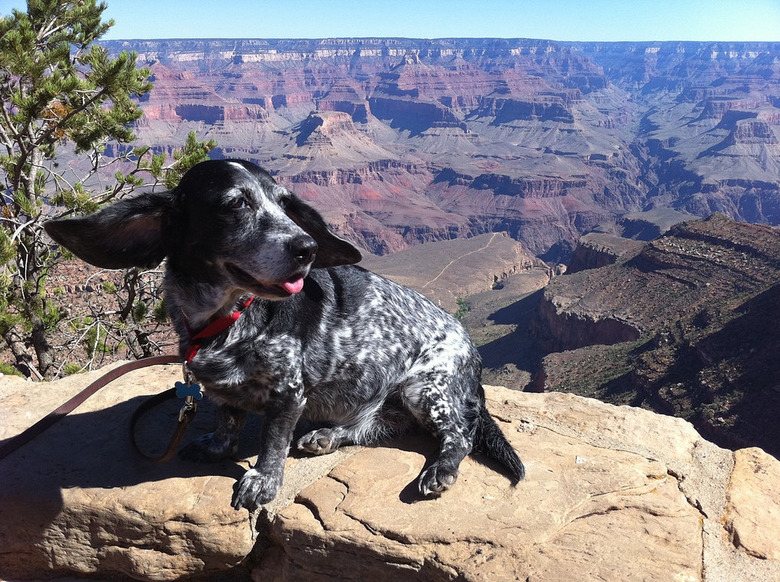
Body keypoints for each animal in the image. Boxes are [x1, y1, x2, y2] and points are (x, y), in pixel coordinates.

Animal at [45, 159, 528, 512]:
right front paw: (217, 445)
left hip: (425, 389)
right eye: (235, 204)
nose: (307, 248)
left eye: (284, 204)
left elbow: (271, 443)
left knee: (459, 435)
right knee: (375, 426)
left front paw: (261, 481)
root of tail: (473, 359)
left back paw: (439, 470)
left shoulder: (289, 394)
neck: (225, 319)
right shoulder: (223, 390)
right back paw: (327, 436)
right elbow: (227, 421)